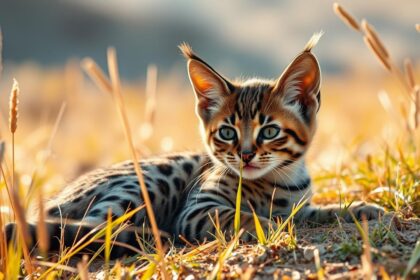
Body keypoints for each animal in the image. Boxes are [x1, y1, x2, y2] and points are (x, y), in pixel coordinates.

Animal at [5, 32, 384, 256]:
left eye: (269, 131)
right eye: (228, 133)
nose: (246, 155)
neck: (280, 182)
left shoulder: (300, 206)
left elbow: (318, 212)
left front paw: (361, 209)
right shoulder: (198, 209)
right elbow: (243, 215)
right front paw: (270, 225)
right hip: (152, 179)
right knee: (94, 228)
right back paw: (145, 234)